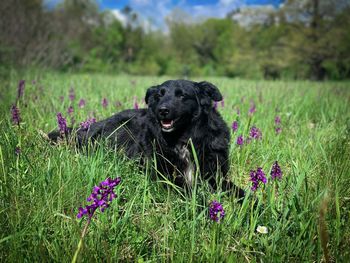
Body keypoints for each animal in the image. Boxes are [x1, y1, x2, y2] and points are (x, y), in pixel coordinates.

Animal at [48, 80, 246, 200]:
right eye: (159, 96)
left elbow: (239, 191)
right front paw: (202, 205)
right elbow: (189, 191)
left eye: (182, 95)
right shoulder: (164, 177)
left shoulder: (214, 176)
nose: (162, 110)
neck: (182, 138)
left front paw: (251, 205)